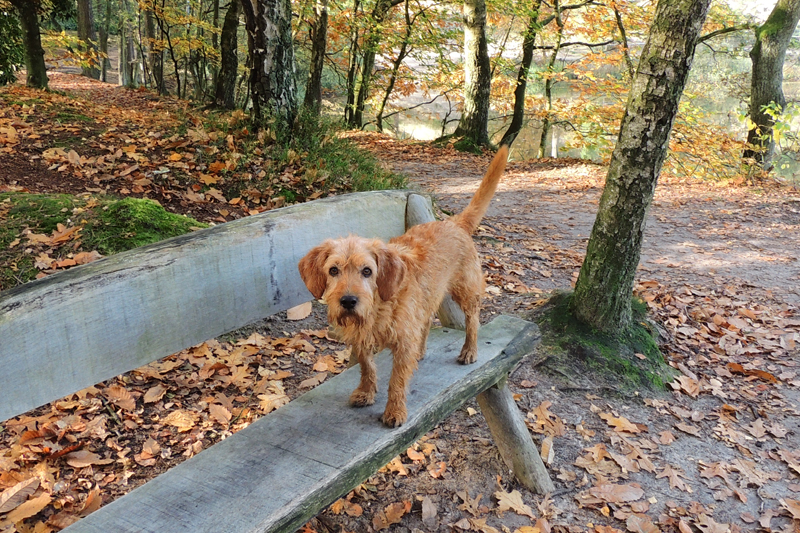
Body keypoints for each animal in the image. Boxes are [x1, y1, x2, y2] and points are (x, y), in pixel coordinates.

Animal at [296, 147, 510, 428]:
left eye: (367, 271)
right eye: (333, 270)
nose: (348, 301)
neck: (379, 307)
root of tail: (453, 222)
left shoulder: (403, 341)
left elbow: (397, 380)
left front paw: (395, 411)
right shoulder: (362, 339)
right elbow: (367, 366)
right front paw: (366, 391)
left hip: (466, 291)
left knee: (473, 320)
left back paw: (470, 350)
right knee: (427, 322)